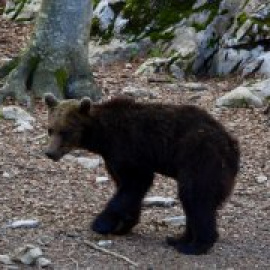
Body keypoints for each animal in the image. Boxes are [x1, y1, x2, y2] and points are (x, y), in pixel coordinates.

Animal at [44, 94, 240, 254]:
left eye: (65, 131)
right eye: (50, 129)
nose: (50, 152)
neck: (103, 137)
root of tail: (231, 144)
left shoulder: (129, 147)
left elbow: (135, 182)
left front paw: (101, 223)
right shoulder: (113, 158)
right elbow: (126, 188)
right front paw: (123, 225)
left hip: (199, 157)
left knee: (195, 196)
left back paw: (194, 245)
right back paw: (178, 238)